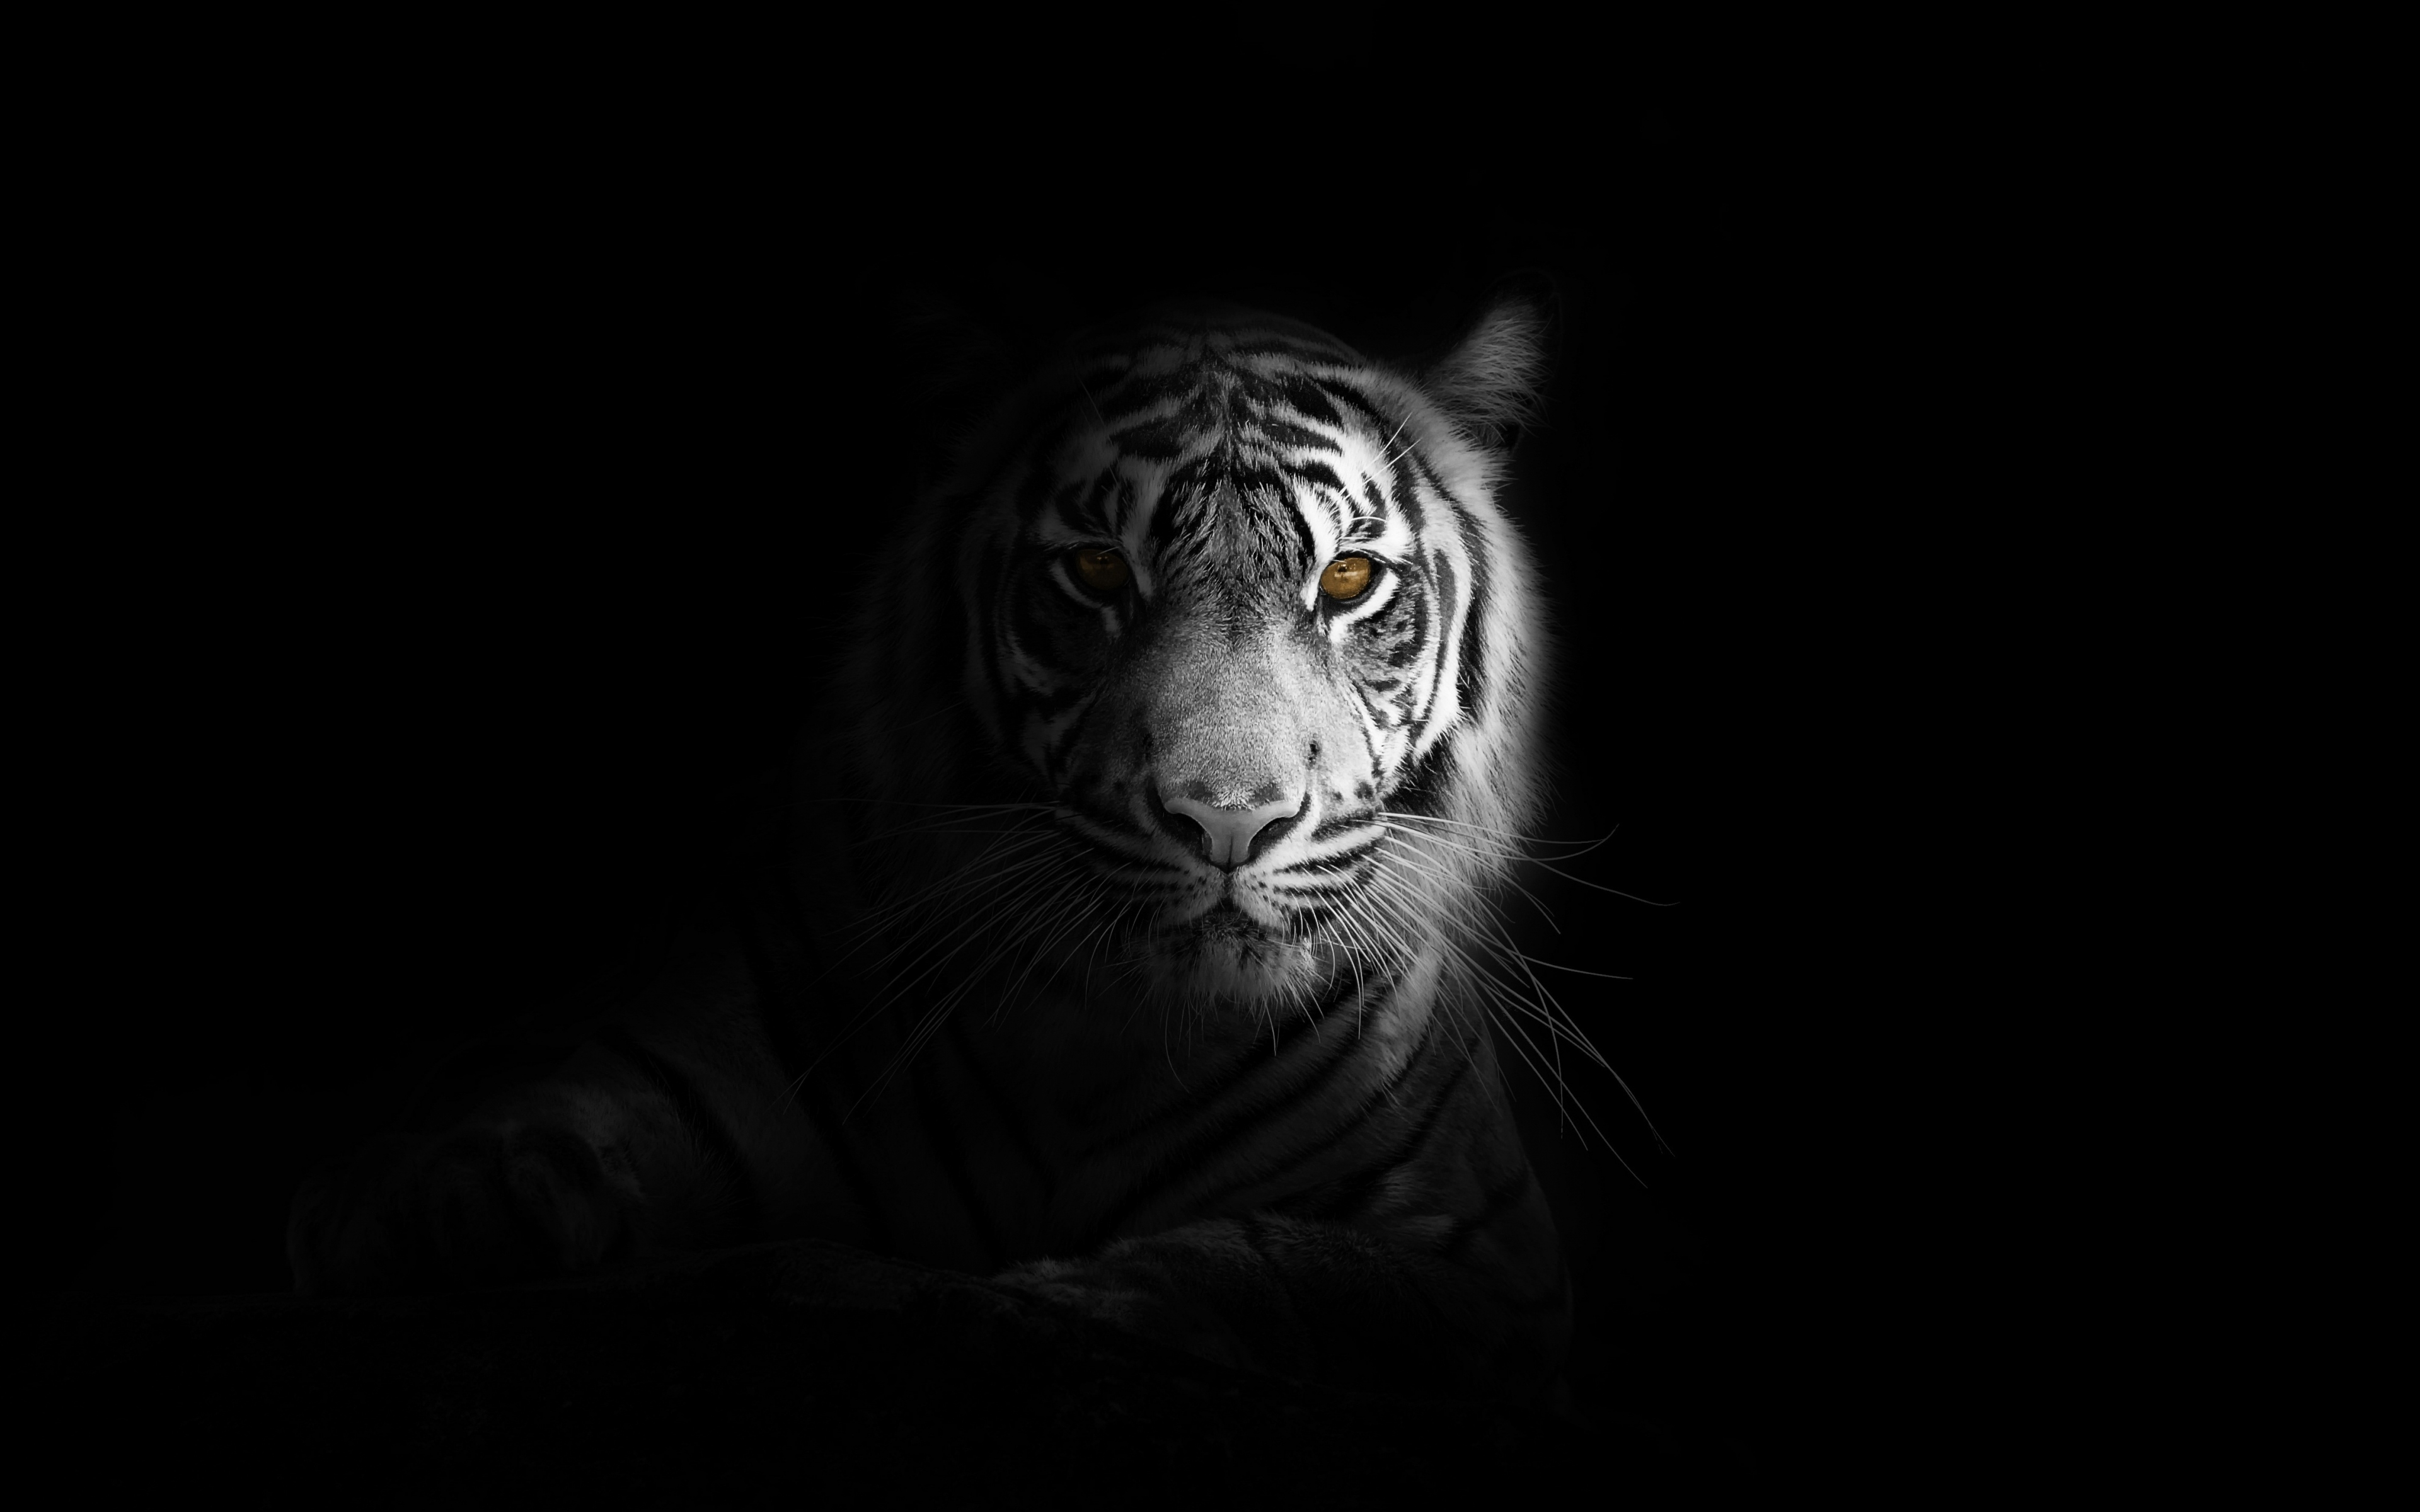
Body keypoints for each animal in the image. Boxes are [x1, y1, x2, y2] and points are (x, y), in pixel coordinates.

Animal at [289, 295, 1602, 1404]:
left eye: (1347, 579)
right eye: (1096, 571)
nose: (1227, 818)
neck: (1107, 1039)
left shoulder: (1490, 1264)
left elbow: (1277, 1265)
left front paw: (1062, 1300)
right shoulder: (677, 1060)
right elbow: (513, 1144)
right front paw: (441, 1221)